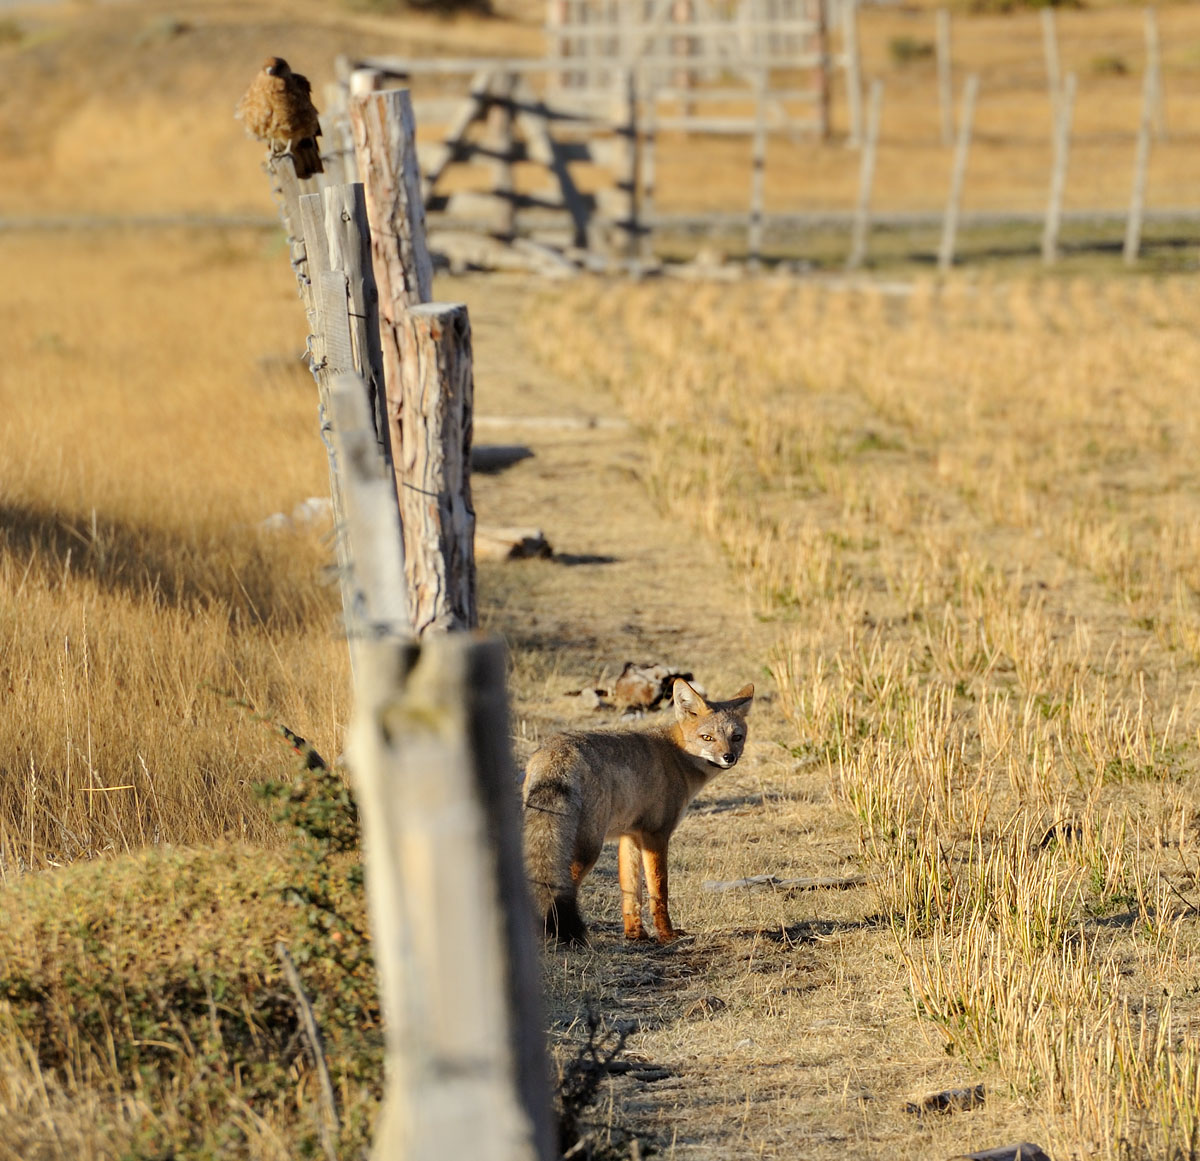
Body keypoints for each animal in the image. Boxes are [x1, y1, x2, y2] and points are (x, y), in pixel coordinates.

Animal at [522, 678, 754, 946]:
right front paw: (666, 935)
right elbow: (659, 890)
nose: (729, 757)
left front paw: (635, 934)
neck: (676, 756)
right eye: (707, 737)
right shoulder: (656, 834)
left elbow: (631, 891)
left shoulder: (630, 835)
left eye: (736, 737)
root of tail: (556, 750)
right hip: (589, 850)